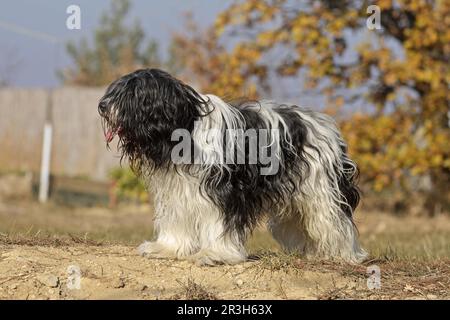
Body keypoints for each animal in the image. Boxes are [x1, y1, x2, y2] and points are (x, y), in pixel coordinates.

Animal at [98, 68, 366, 264]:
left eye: (132, 94)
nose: (102, 106)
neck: (184, 126)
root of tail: (328, 127)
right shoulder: (178, 189)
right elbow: (177, 219)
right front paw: (166, 248)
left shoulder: (222, 191)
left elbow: (218, 222)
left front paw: (214, 254)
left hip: (321, 190)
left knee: (335, 221)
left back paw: (345, 255)